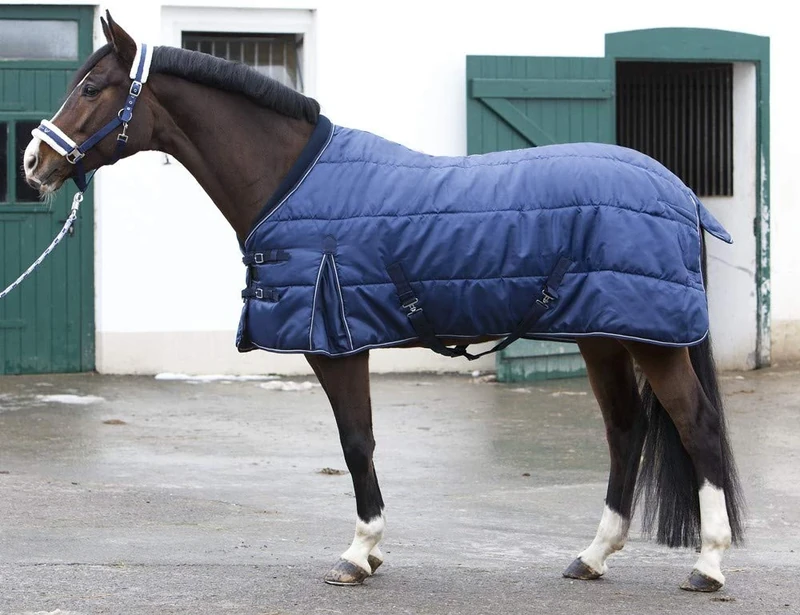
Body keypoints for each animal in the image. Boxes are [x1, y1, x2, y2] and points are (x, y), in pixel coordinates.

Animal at [23, 12, 744, 592]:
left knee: (696, 426)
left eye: (91, 88)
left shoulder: (335, 345)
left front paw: (359, 551)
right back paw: (592, 555)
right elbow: (361, 439)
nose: (33, 162)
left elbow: (355, 441)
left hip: (651, 342)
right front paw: (368, 551)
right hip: (606, 337)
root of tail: (679, 190)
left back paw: (707, 564)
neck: (291, 179)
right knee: (625, 431)